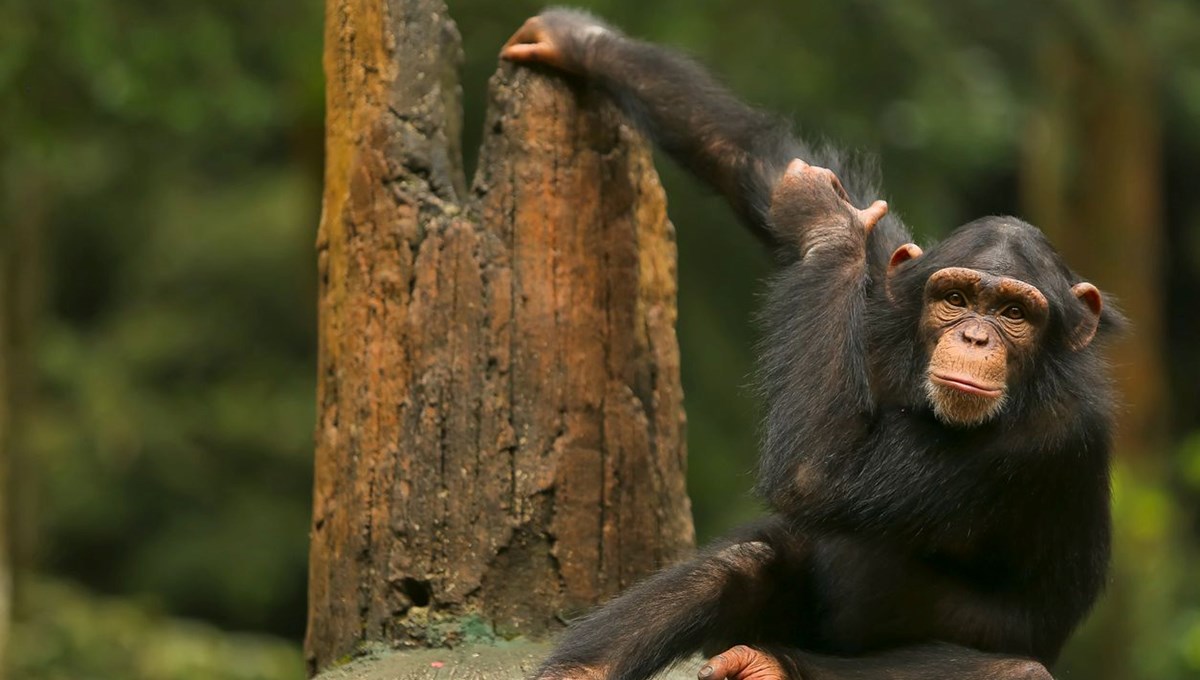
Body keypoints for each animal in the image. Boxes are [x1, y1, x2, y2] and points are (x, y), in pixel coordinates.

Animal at [501, 9, 1118, 680]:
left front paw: (828, 219)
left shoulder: (1044, 437)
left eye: (1013, 312)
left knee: (1011, 667)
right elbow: (758, 156)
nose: (976, 335)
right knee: (751, 556)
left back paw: (770, 663)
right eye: (955, 298)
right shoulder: (880, 292)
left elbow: (817, 475)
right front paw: (580, 41)